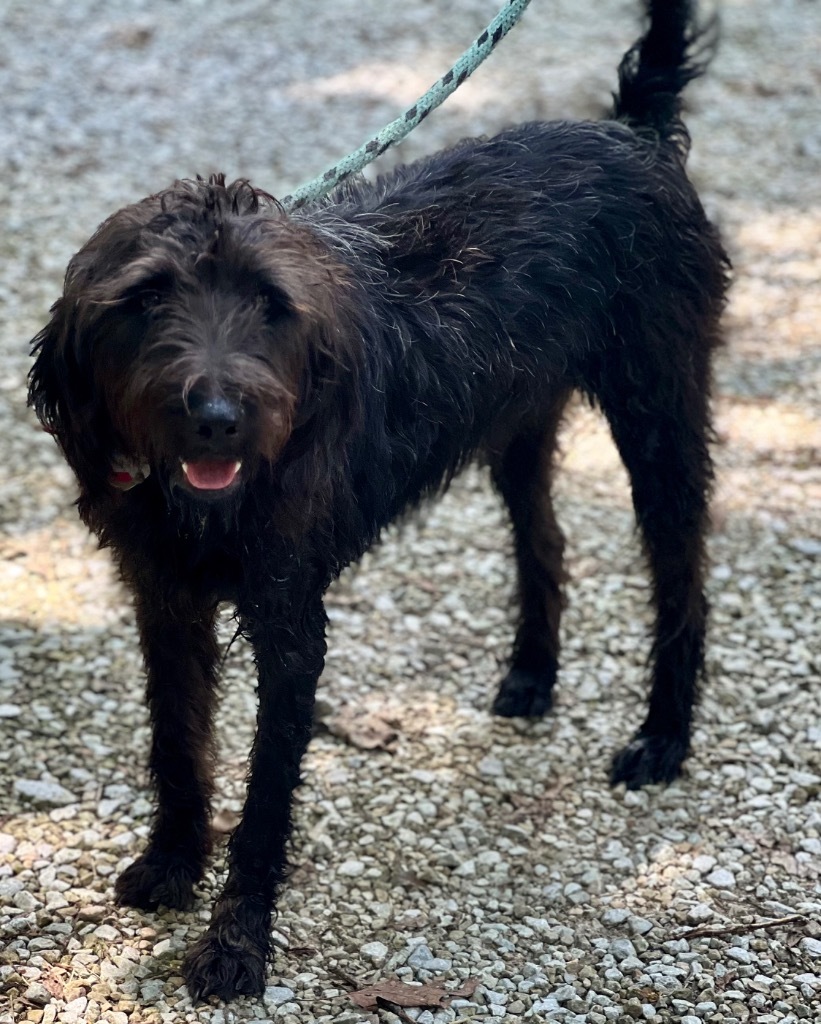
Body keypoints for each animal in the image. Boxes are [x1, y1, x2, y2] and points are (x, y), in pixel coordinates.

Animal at [28, 0, 724, 999]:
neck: (207, 505)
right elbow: (176, 741)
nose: (217, 420)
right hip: (519, 423)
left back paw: (663, 736)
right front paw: (170, 862)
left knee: (682, 576)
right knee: (544, 540)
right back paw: (531, 676)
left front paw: (235, 942)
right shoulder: (164, 600)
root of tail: (629, 131)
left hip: (658, 412)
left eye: (269, 303)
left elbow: (265, 799)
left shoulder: (290, 626)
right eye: (148, 299)